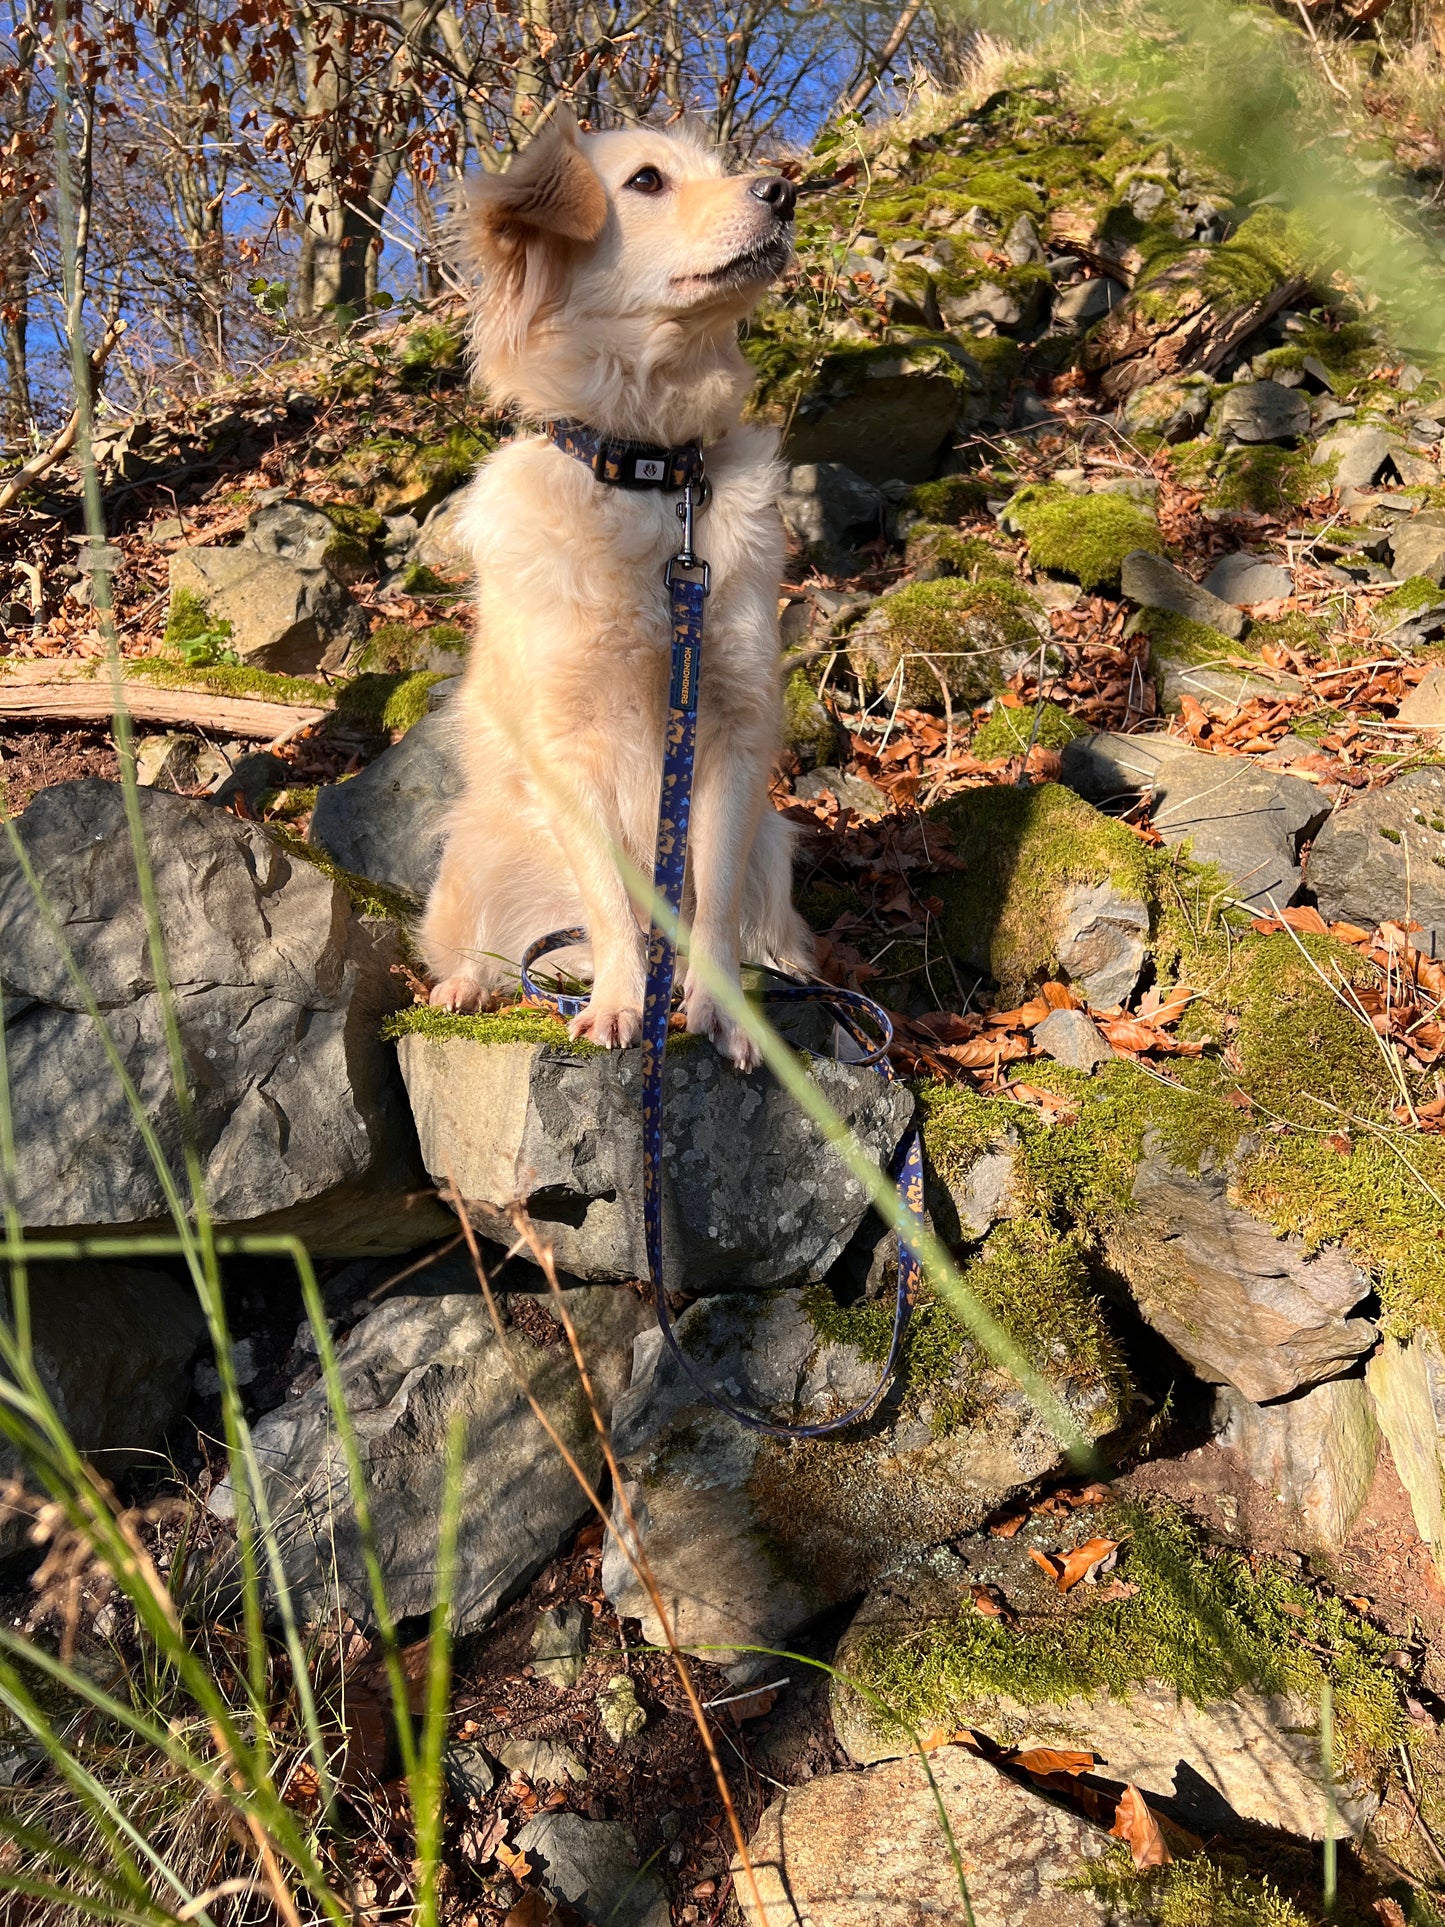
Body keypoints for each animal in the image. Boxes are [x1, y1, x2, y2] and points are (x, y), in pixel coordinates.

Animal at [423, 109, 820, 1071]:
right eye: (646, 181)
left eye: (724, 167)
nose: (784, 188)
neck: (650, 473)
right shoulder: (565, 746)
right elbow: (608, 896)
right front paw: (617, 1003)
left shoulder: (732, 728)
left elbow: (708, 895)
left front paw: (717, 1011)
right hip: (472, 849)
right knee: (496, 953)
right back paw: (472, 986)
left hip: (776, 840)